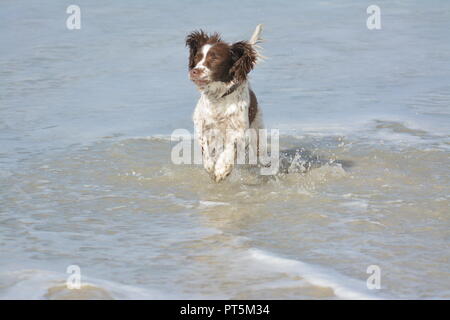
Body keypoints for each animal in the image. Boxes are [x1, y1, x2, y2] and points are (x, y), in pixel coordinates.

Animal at [185, 24, 264, 182]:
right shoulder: (201, 123)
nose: (194, 71)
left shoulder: (239, 129)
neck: (218, 97)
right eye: (197, 57)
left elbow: (231, 148)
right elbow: (204, 144)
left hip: (256, 130)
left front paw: (222, 169)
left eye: (215, 58)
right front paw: (210, 166)